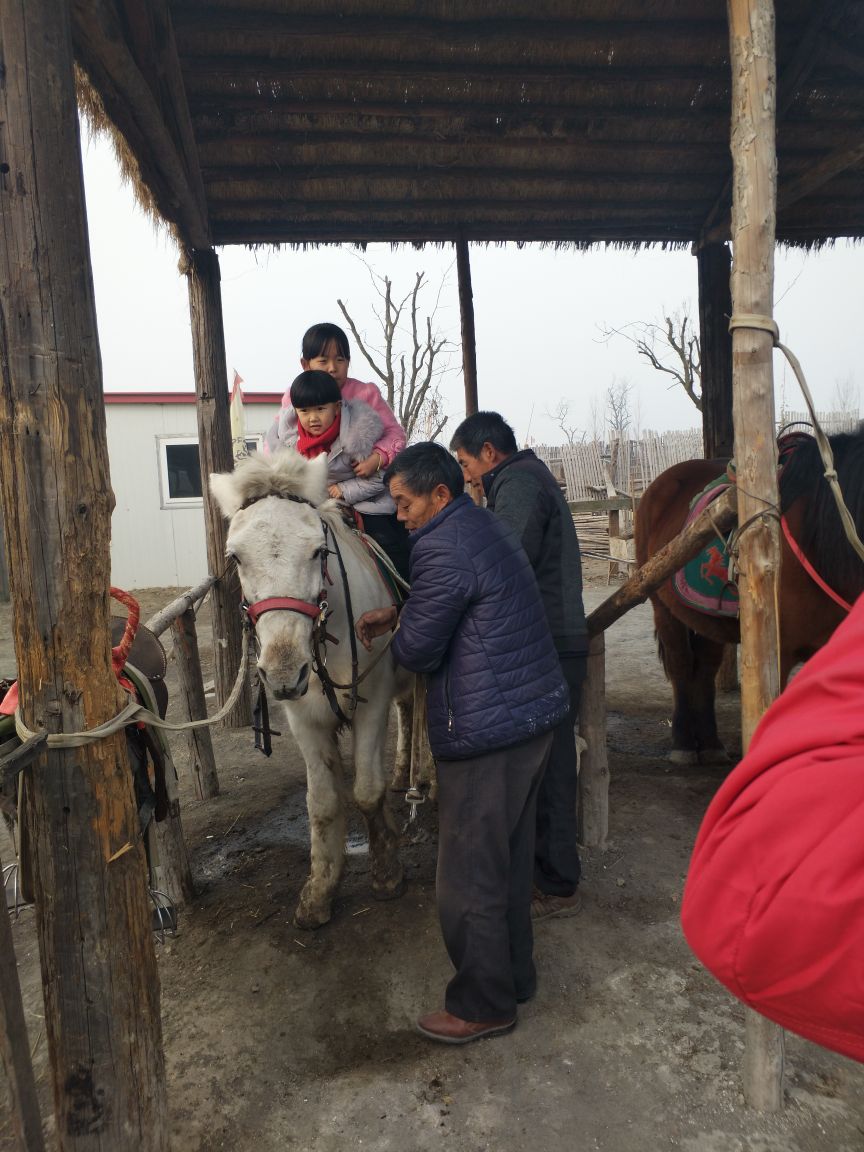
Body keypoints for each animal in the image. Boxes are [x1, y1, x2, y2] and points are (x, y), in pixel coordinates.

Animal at [211, 449, 410, 926]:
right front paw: (319, 892)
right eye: (236, 558)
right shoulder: (304, 719)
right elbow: (322, 803)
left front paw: (386, 873)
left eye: (318, 550)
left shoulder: (370, 703)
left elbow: (366, 791)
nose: (284, 674)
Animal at [635, 428, 864, 760]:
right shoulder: (778, 651)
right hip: (662, 607)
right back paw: (683, 744)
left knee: (705, 668)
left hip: (707, 619)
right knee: (681, 665)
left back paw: (710, 743)